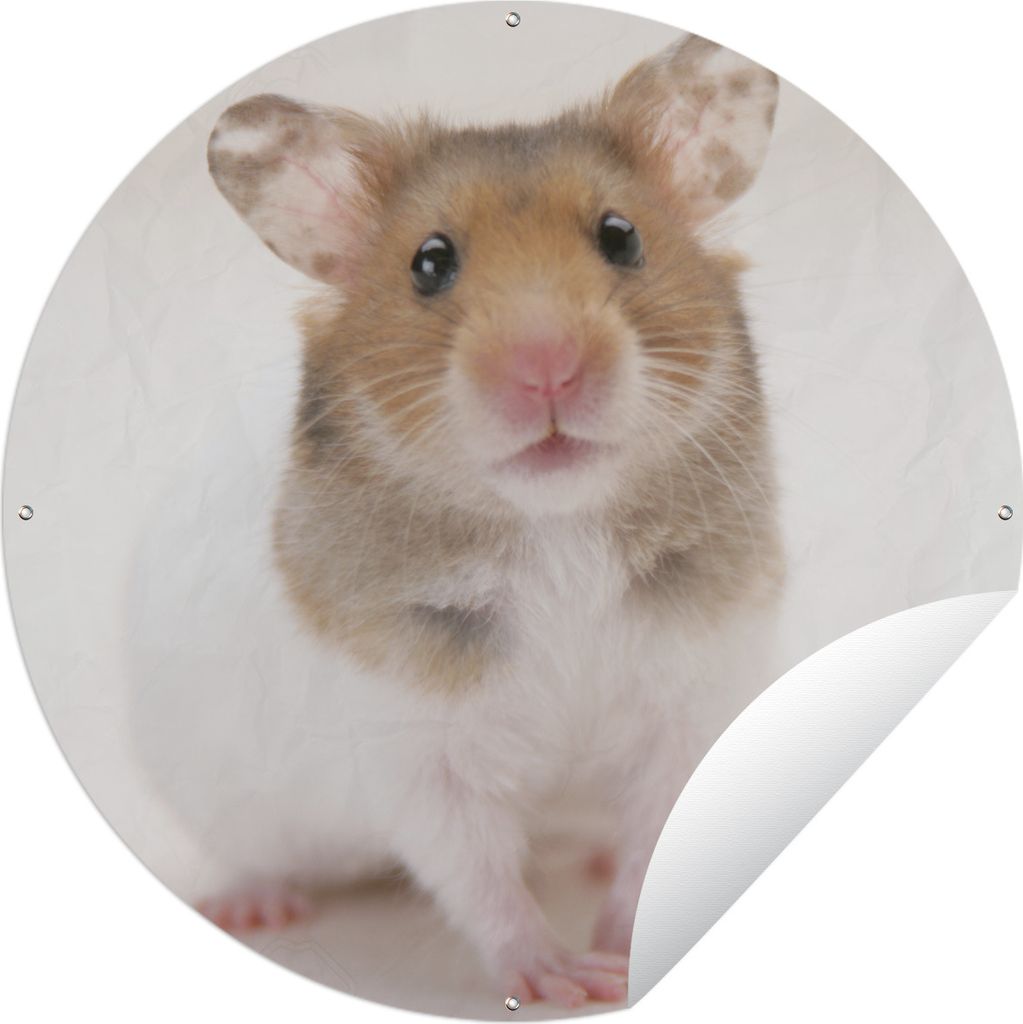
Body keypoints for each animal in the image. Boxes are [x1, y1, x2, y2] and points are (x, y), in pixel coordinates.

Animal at [142, 34, 783, 1008]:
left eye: (621, 236)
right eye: (429, 262)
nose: (546, 366)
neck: (555, 529)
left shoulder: (689, 702)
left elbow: (652, 836)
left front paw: (620, 957)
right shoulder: (415, 753)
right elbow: (476, 874)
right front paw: (561, 980)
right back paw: (253, 908)